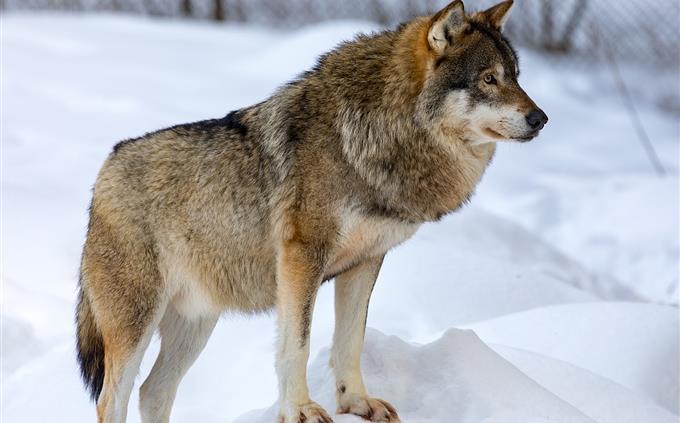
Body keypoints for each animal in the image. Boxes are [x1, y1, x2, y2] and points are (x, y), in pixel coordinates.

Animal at [77, 1, 548, 422]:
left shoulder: (365, 262)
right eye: (488, 79)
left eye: (516, 77)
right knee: (111, 400)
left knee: (153, 392)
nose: (540, 118)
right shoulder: (302, 258)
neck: (371, 139)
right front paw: (300, 410)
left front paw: (356, 404)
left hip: (195, 327)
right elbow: (296, 346)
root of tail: (104, 172)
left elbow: (350, 342)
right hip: (136, 326)